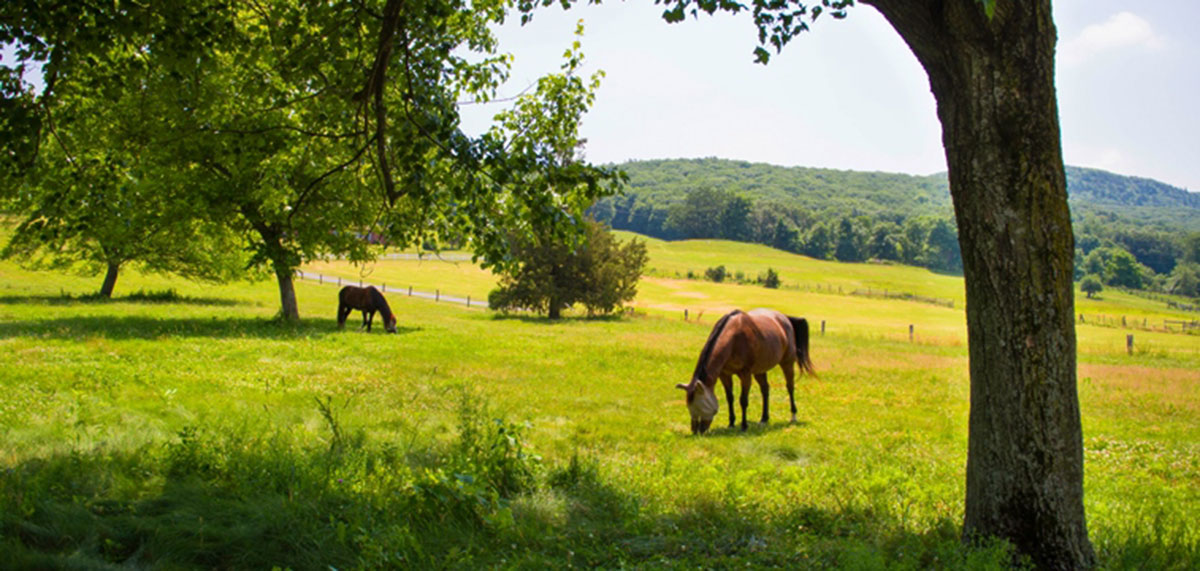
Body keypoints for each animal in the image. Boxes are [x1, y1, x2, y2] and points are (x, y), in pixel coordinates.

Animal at [676, 308, 815, 434]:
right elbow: (730, 398)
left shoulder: (745, 375)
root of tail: (784, 318)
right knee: (765, 389)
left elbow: (743, 400)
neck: (733, 339)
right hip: (760, 370)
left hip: (787, 363)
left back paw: (793, 416)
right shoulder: (725, 374)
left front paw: (744, 426)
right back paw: (764, 419)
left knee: (790, 387)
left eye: (699, 405)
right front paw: (731, 423)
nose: (696, 431)